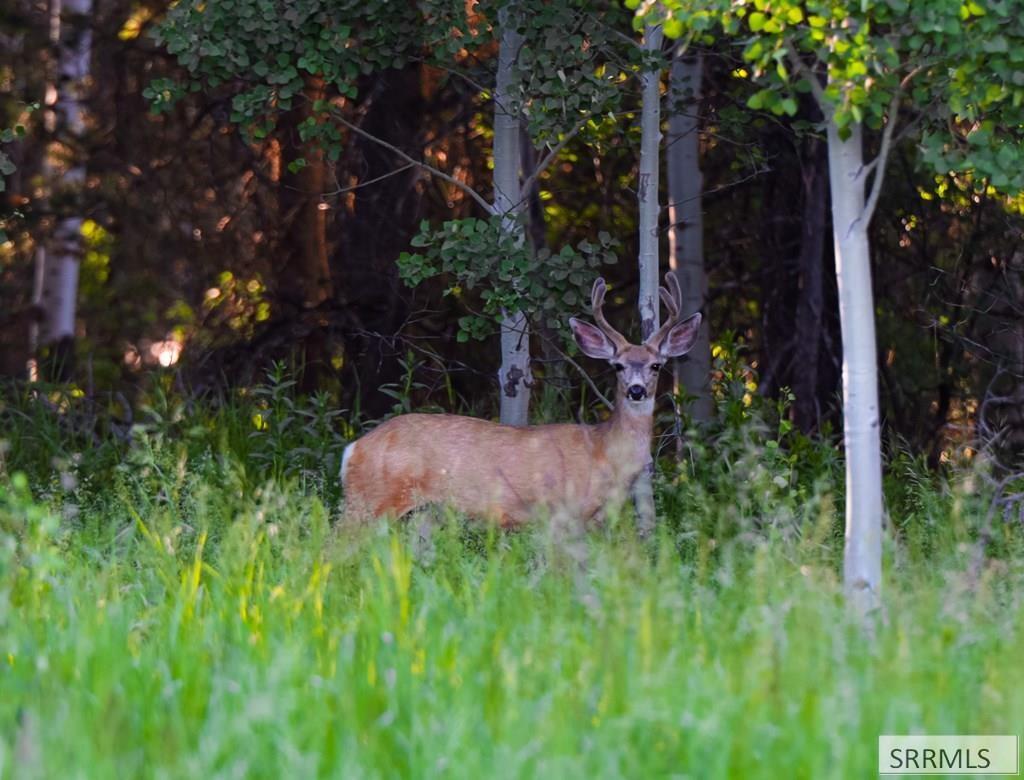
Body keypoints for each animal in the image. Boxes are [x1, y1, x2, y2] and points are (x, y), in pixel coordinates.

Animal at [339, 270, 700, 524]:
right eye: (618, 366)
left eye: (656, 365)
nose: (636, 390)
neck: (602, 451)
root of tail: (353, 449)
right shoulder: (561, 511)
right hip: (371, 500)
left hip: (425, 512)